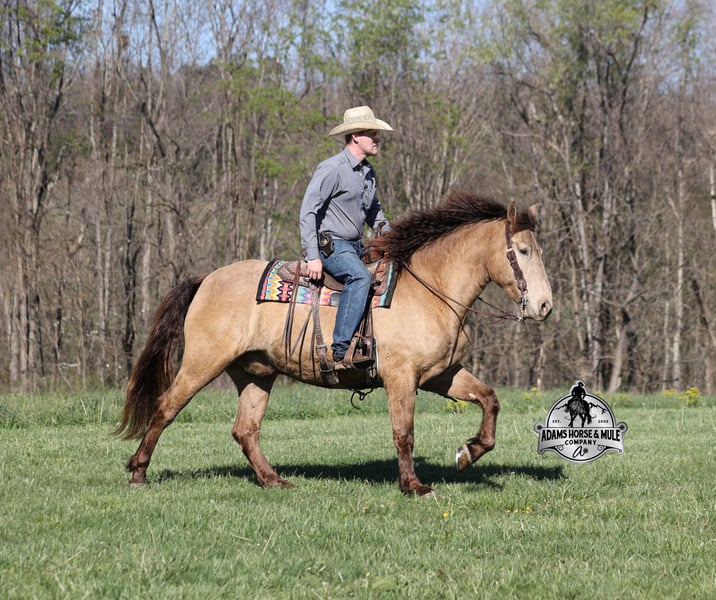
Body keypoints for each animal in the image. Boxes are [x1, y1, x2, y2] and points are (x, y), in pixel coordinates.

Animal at [116, 191, 553, 497]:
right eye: (523, 251)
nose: (545, 306)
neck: (429, 290)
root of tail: (206, 278)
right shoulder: (401, 378)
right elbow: (404, 432)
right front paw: (414, 486)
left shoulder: (440, 375)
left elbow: (489, 400)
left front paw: (468, 453)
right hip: (202, 363)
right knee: (166, 408)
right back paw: (138, 470)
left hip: (256, 373)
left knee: (245, 430)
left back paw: (274, 481)